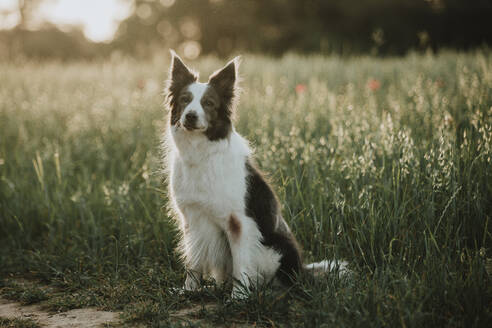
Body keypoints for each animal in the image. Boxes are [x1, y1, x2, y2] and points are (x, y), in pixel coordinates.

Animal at [162, 50, 346, 298]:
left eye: (208, 103)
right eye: (184, 100)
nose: (190, 116)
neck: (201, 152)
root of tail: (302, 271)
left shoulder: (239, 222)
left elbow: (241, 264)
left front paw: (238, 298)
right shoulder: (192, 219)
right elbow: (194, 261)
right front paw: (189, 291)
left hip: (276, 251)